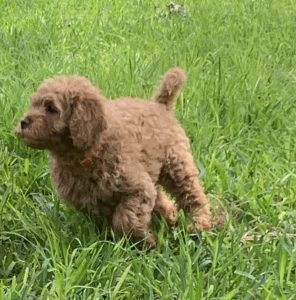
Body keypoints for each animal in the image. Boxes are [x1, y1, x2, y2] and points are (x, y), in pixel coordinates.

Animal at [15, 68, 210, 248]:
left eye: (51, 108)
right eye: (33, 105)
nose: (23, 122)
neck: (87, 155)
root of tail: (159, 105)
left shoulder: (137, 189)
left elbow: (126, 220)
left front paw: (146, 241)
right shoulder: (89, 202)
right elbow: (105, 224)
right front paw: (109, 243)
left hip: (176, 162)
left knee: (192, 193)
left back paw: (199, 225)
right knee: (162, 199)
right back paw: (170, 218)